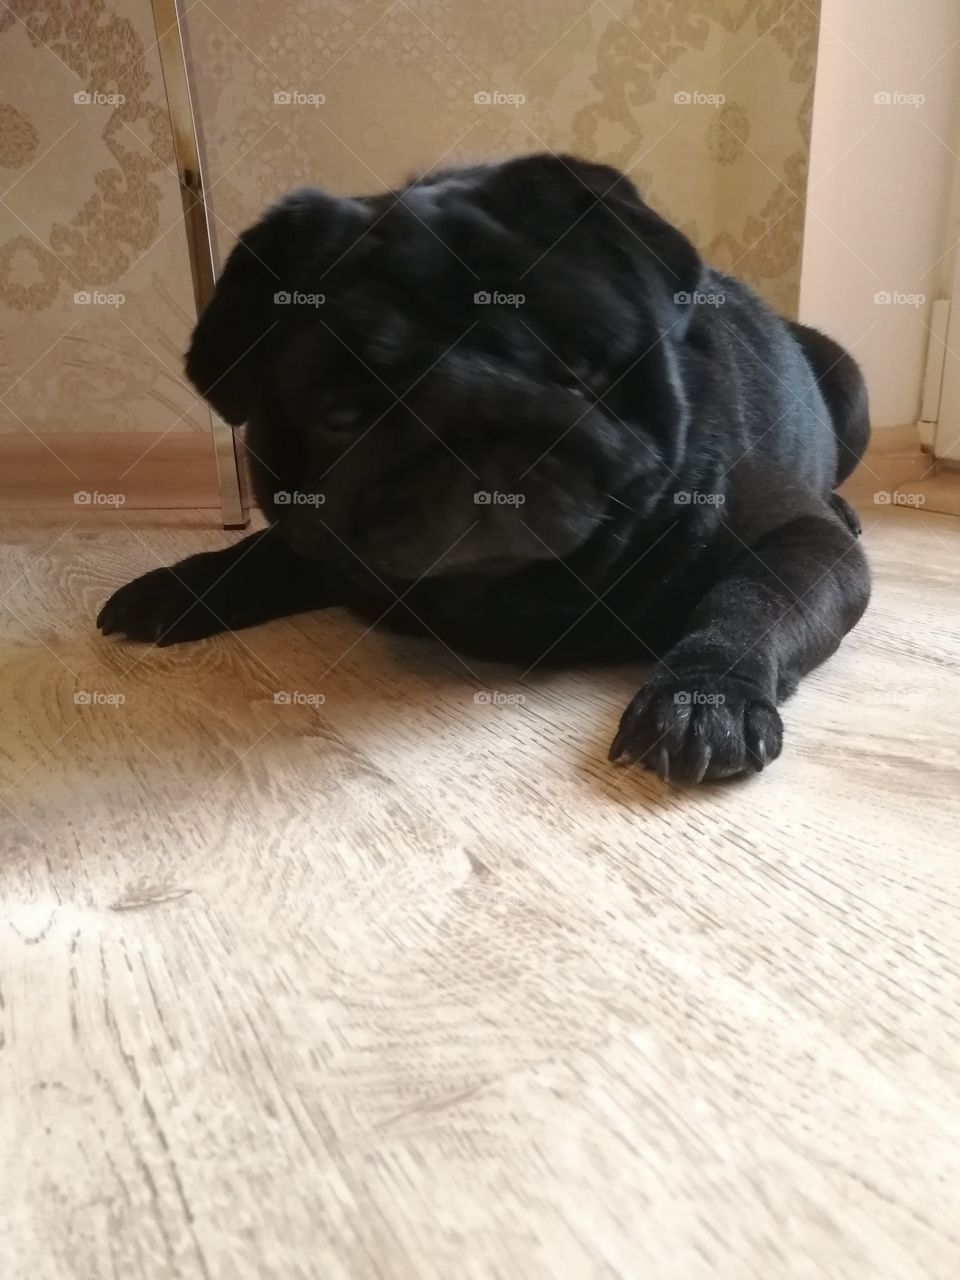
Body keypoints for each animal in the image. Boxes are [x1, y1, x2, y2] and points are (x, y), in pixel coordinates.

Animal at [99, 154, 870, 783]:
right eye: (343, 415)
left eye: (580, 371)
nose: (477, 414)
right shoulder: (313, 535)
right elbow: (260, 553)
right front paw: (181, 585)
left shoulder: (799, 543)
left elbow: (745, 602)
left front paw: (702, 700)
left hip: (850, 384)